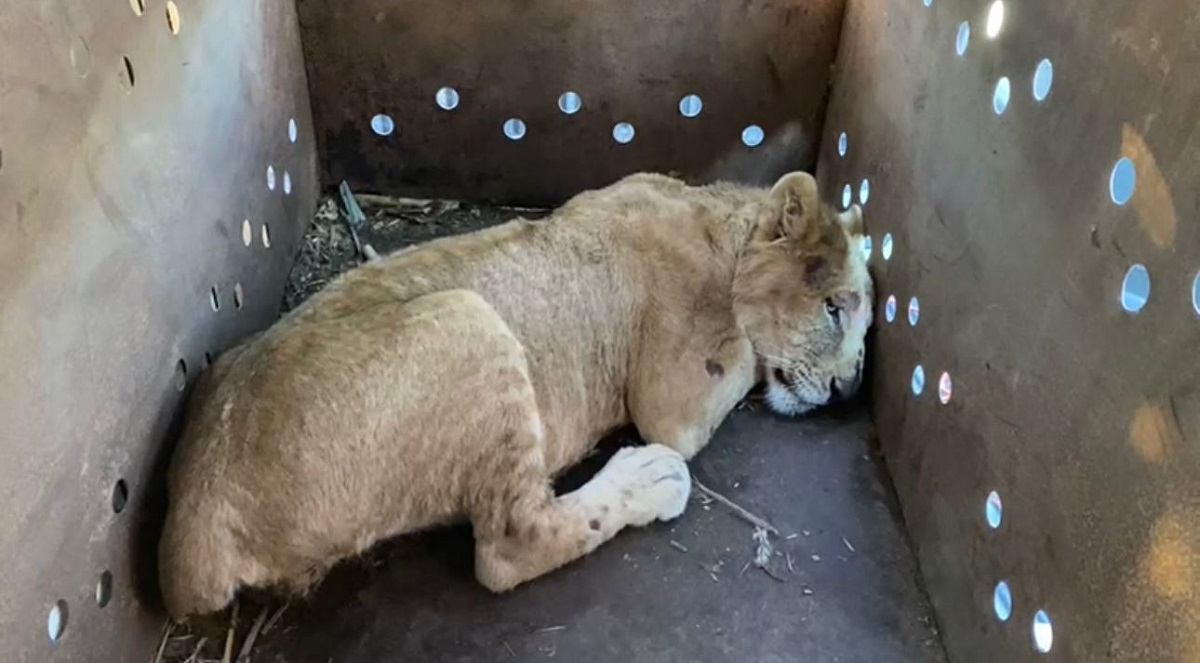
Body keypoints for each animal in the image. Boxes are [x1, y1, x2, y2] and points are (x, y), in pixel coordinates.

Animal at [158, 171, 873, 620]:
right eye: (835, 308)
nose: (847, 390)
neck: (719, 219)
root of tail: (196, 517)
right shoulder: (675, 398)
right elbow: (747, 355)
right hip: (467, 320)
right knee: (509, 548)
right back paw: (649, 478)